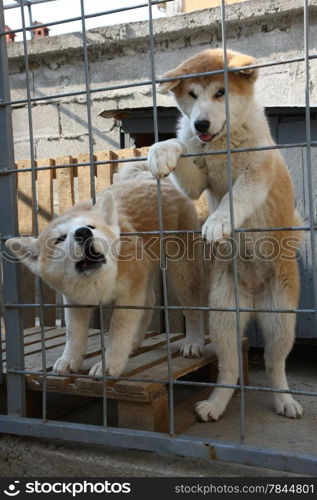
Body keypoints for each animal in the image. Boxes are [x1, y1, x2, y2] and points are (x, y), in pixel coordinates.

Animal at [8, 166, 205, 376]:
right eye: (60, 239)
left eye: (91, 226)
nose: (83, 232)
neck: (97, 284)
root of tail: (149, 177)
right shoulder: (74, 300)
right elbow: (73, 333)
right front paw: (69, 359)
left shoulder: (129, 295)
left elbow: (118, 332)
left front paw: (110, 364)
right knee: (150, 300)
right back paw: (135, 340)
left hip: (182, 272)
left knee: (192, 309)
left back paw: (194, 342)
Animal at [148, 48, 302, 420]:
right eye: (193, 95)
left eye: (221, 92)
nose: (200, 124)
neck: (223, 142)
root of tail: (254, 298)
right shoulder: (197, 178)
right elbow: (178, 147)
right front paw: (161, 153)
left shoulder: (255, 175)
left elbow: (236, 198)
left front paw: (217, 222)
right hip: (223, 316)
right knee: (229, 368)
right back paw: (216, 402)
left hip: (280, 320)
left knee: (275, 364)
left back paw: (284, 399)